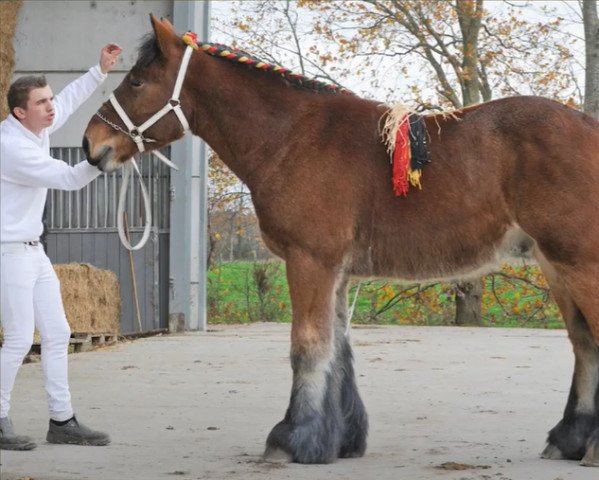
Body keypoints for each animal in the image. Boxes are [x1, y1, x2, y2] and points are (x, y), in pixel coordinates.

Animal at [83, 16, 599, 466]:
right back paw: (569, 440)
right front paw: (339, 439)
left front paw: (291, 439)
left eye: (136, 82)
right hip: (556, 265)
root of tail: (587, 126)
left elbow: (308, 347)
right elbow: (338, 352)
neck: (292, 137)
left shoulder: (310, 260)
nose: (91, 146)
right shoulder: (337, 271)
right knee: (584, 343)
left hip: (578, 264)